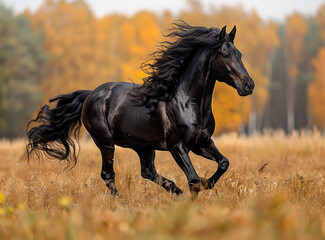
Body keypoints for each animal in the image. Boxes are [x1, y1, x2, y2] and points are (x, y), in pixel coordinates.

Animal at [26, 22, 253, 197]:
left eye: (240, 54)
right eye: (224, 54)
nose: (249, 85)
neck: (188, 102)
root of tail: (90, 95)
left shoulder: (202, 143)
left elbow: (223, 163)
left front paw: (209, 183)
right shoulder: (177, 146)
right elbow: (194, 180)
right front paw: (197, 193)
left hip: (143, 146)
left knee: (147, 172)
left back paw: (175, 192)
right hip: (105, 143)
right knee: (108, 174)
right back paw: (121, 203)